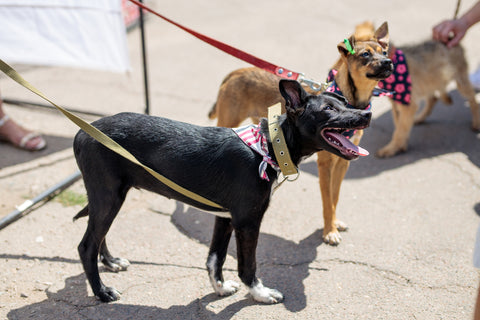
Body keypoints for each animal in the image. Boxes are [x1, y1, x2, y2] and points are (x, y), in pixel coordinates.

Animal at [72, 79, 372, 302]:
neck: (268, 146)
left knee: (99, 236)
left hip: (109, 197)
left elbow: (214, 259)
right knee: (86, 245)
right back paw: (102, 292)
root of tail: (83, 132)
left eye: (345, 103)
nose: (366, 114)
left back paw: (111, 262)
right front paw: (260, 293)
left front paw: (220, 288)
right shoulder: (247, 220)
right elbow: (247, 265)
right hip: (108, 196)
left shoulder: (225, 217)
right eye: (329, 109)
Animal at [208, 21, 392, 245]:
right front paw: (329, 231)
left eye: (385, 51)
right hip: (228, 120)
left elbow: (335, 196)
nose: (388, 63)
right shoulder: (325, 165)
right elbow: (327, 201)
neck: (353, 99)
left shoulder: (343, 162)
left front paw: (335, 222)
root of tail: (236, 72)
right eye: (365, 54)